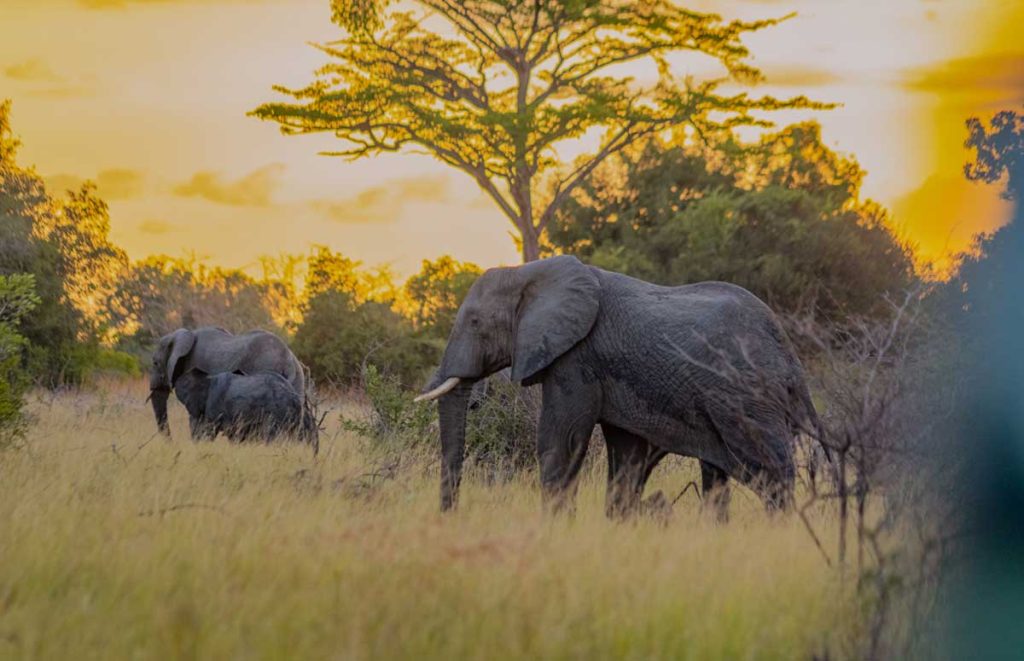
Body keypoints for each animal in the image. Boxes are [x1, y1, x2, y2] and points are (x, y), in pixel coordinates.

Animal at [148, 325, 305, 439]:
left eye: (155, 363)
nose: (170, 441)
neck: (185, 335)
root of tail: (288, 361)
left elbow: (198, 421)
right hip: (297, 384)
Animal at [413, 256, 823, 519]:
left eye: (475, 323)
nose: (450, 517)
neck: (528, 272)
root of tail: (792, 361)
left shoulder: (576, 358)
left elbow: (560, 441)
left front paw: (555, 528)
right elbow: (626, 454)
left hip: (747, 401)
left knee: (771, 475)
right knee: (718, 476)